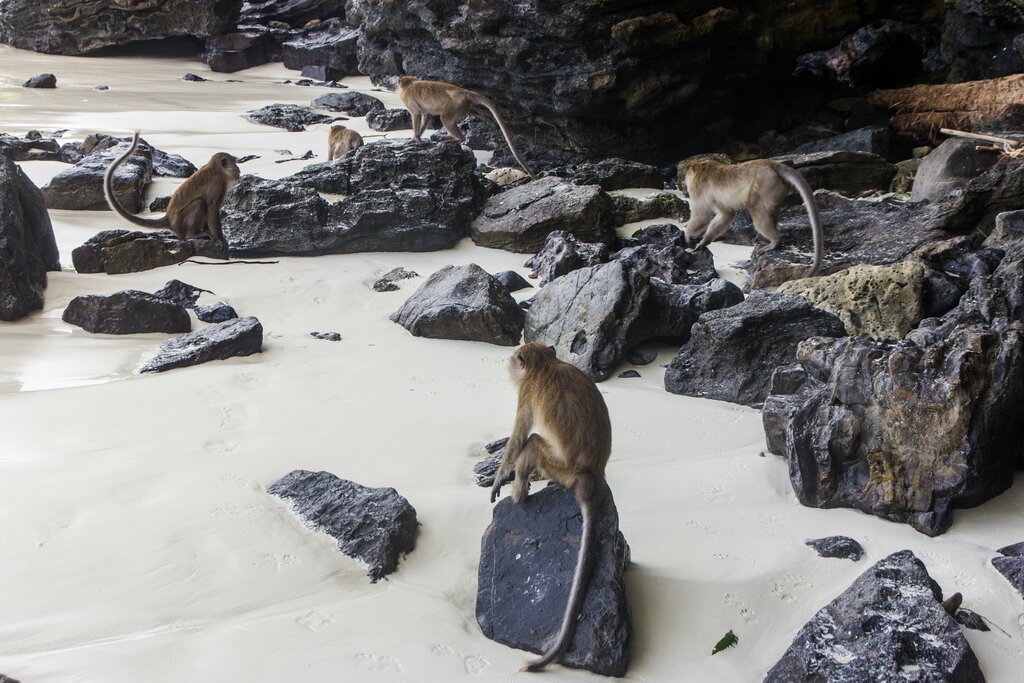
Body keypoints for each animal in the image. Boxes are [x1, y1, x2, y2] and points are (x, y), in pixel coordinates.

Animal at [104, 132, 240, 252]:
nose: (238, 169)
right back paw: (191, 235)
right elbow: (212, 208)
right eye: (234, 163)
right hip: (180, 223)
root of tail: (168, 219)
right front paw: (220, 239)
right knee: (199, 203)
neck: (217, 169)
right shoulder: (218, 183)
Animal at [397, 76, 534, 178]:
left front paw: (414, 138)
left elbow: (416, 114)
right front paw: (418, 136)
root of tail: (464, 91)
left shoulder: (408, 99)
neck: (410, 84)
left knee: (445, 118)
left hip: (456, 104)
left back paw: (457, 139)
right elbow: (426, 115)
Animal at [490, 342, 612, 673]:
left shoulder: (526, 392)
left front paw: (500, 477)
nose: (508, 367)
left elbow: (518, 439)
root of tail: (590, 476)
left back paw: (519, 491)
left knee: (533, 442)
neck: (545, 365)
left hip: (559, 468)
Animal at [681, 159, 824, 277]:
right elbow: (726, 214)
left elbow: (702, 216)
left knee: (755, 209)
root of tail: (771, 164)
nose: (684, 183)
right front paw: (705, 241)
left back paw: (775, 241)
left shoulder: (697, 188)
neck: (702, 167)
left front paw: (687, 236)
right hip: (776, 189)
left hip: (764, 184)